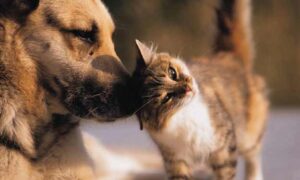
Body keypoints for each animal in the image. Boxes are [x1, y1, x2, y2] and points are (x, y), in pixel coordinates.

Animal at [132, 0, 268, 179]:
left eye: (172, 73)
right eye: (167, 98)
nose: (188, 88)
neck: (184, 117)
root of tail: (229, 56)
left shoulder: (224, 148)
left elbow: (226, 174)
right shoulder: (175, 159)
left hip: (248, 135)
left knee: (254, 156)